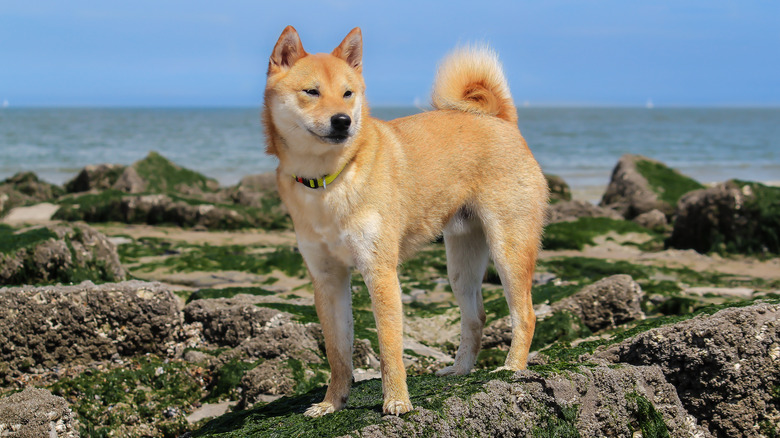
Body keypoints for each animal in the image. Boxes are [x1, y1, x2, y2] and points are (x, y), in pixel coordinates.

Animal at [262, 25, 548, 416]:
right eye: (312, 92)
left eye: (348, 94)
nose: (343, 121)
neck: (329, 180)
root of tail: (502, 120)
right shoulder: (327, 278)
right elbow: (338, 353)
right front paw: (332, 403)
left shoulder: (380, 271)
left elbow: (389, 346)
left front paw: (396, 400)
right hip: (461, 265)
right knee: (475, 318)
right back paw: (459, 370)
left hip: (509, 249)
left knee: (525, 314)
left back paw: (512, 368)